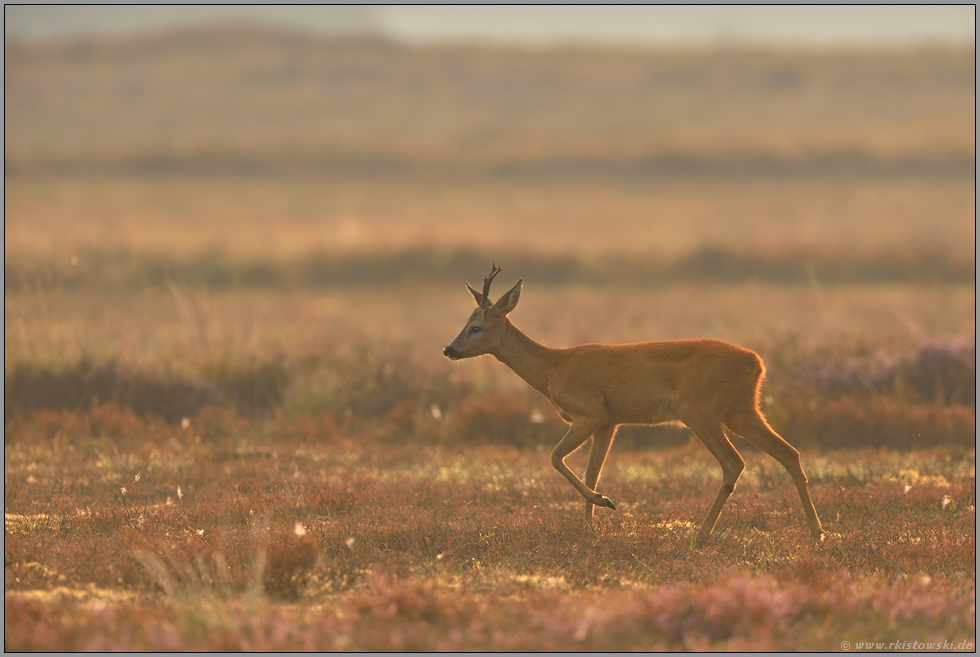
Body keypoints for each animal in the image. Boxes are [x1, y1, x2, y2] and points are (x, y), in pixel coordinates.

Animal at [446, 262, 828, 544]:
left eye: (477, 327)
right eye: (465, 323)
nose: (449, 349)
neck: (553, 368)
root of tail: (757, 362)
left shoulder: (590, 411)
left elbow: (555, 457)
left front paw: (604, 501)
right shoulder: (609, 421)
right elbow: (593, 470)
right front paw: (589, 526)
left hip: (700, 410)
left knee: (734, 463)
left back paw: (701, 535)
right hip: (742, 410)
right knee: (789, 453)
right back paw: (817, 533)